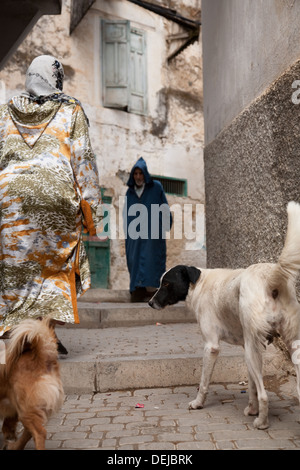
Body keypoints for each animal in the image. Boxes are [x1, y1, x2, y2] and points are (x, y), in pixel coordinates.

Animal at [149, 202, 300, 430]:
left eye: (166, 284)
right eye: (160, 283)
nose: (150, 303)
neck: (199, 283)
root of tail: (269, 277)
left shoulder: (212, 346)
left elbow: (204, 382)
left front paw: (198, 403)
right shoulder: (246, 345)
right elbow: (251, 385)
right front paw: (251, 408)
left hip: (253, 352)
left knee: (264, 394)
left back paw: (261, 422)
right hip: (287, 346)